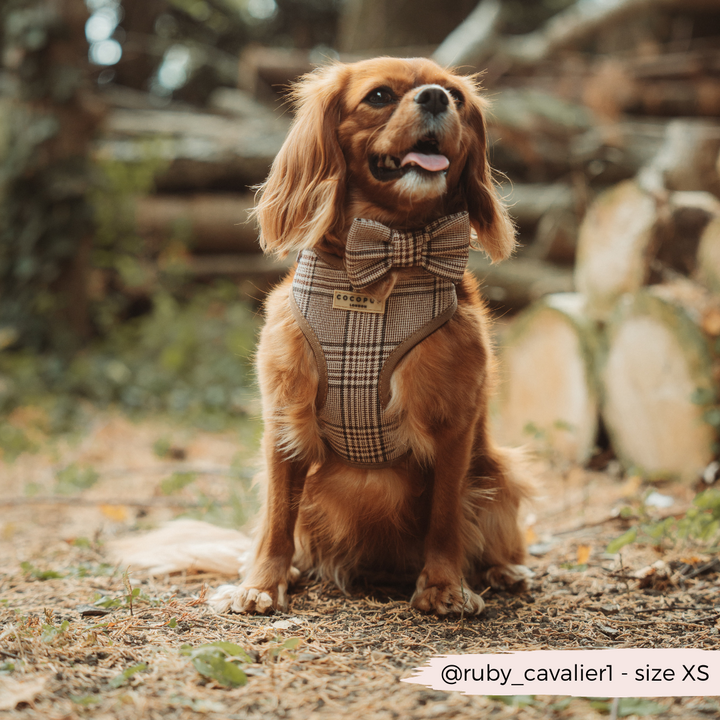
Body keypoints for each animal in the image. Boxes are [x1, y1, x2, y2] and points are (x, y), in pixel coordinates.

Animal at [211, 57, 532, 620]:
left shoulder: (454, 428)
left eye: (456, 96)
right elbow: (276, 520)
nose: (435, 99)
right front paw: (261, 584)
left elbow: (445, 518)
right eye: (380, 96)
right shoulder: (284, 419)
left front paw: (443, 586)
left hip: (499, 471)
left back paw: (503, 571)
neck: (391, 254)